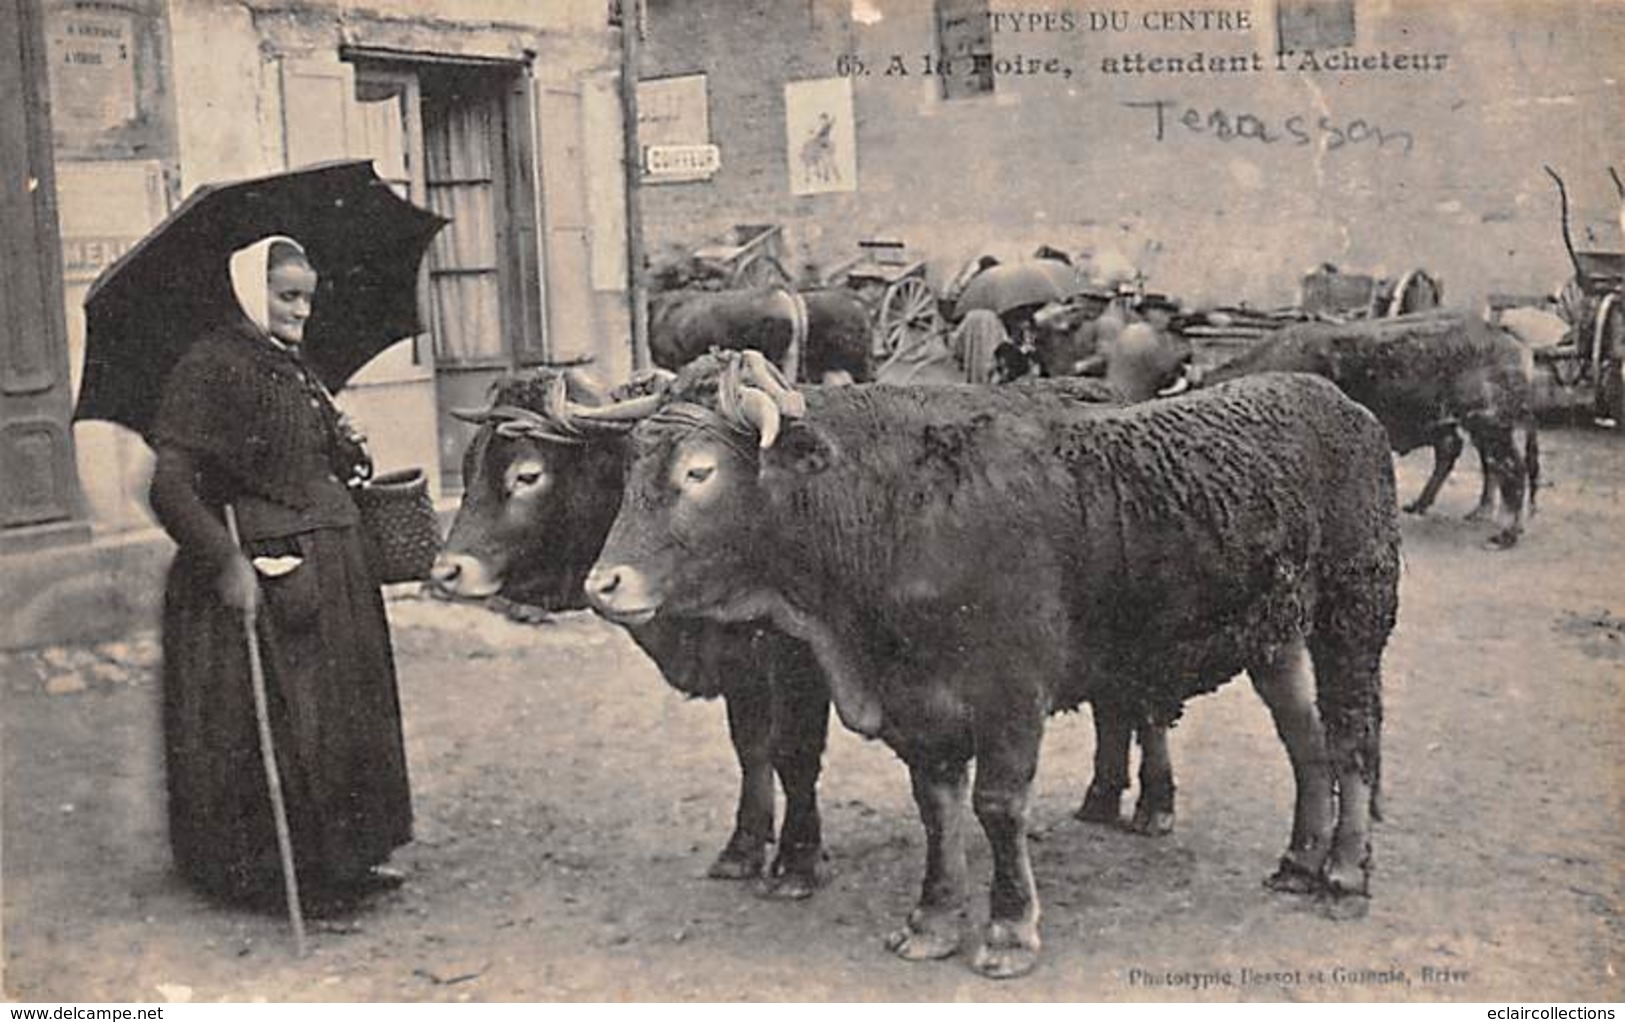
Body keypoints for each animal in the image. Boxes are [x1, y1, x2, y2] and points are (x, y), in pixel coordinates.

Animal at [432, 370, 832, 896]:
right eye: (467, 466)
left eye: (527, 475)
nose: (446, 571)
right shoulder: (740, 668)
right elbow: (751, 747)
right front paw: (743, 846)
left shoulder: (797, 665)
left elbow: (794, 752)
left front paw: (799, 859)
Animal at [591, 352, 1404, 981]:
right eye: (626, 470)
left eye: (699, 472)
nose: (603, 584)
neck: (897, 516)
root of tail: (1340, 404)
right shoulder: (921, 704)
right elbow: (938, 807)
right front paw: (933, 918)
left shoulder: (1011, 692)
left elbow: (997, 806)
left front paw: (1009, 931)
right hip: (1276, 638)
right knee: (1306, 743)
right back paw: (1299, 859)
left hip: (1354, 614)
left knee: (1353, 742)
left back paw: (1341, 872)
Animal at [1209, 308, 1534, 545]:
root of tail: (1503, 335)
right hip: (1478, 427)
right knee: (1479, 461)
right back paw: (1454, 510)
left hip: (1490, 424)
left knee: (1511, 469)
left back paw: (1505, 534)